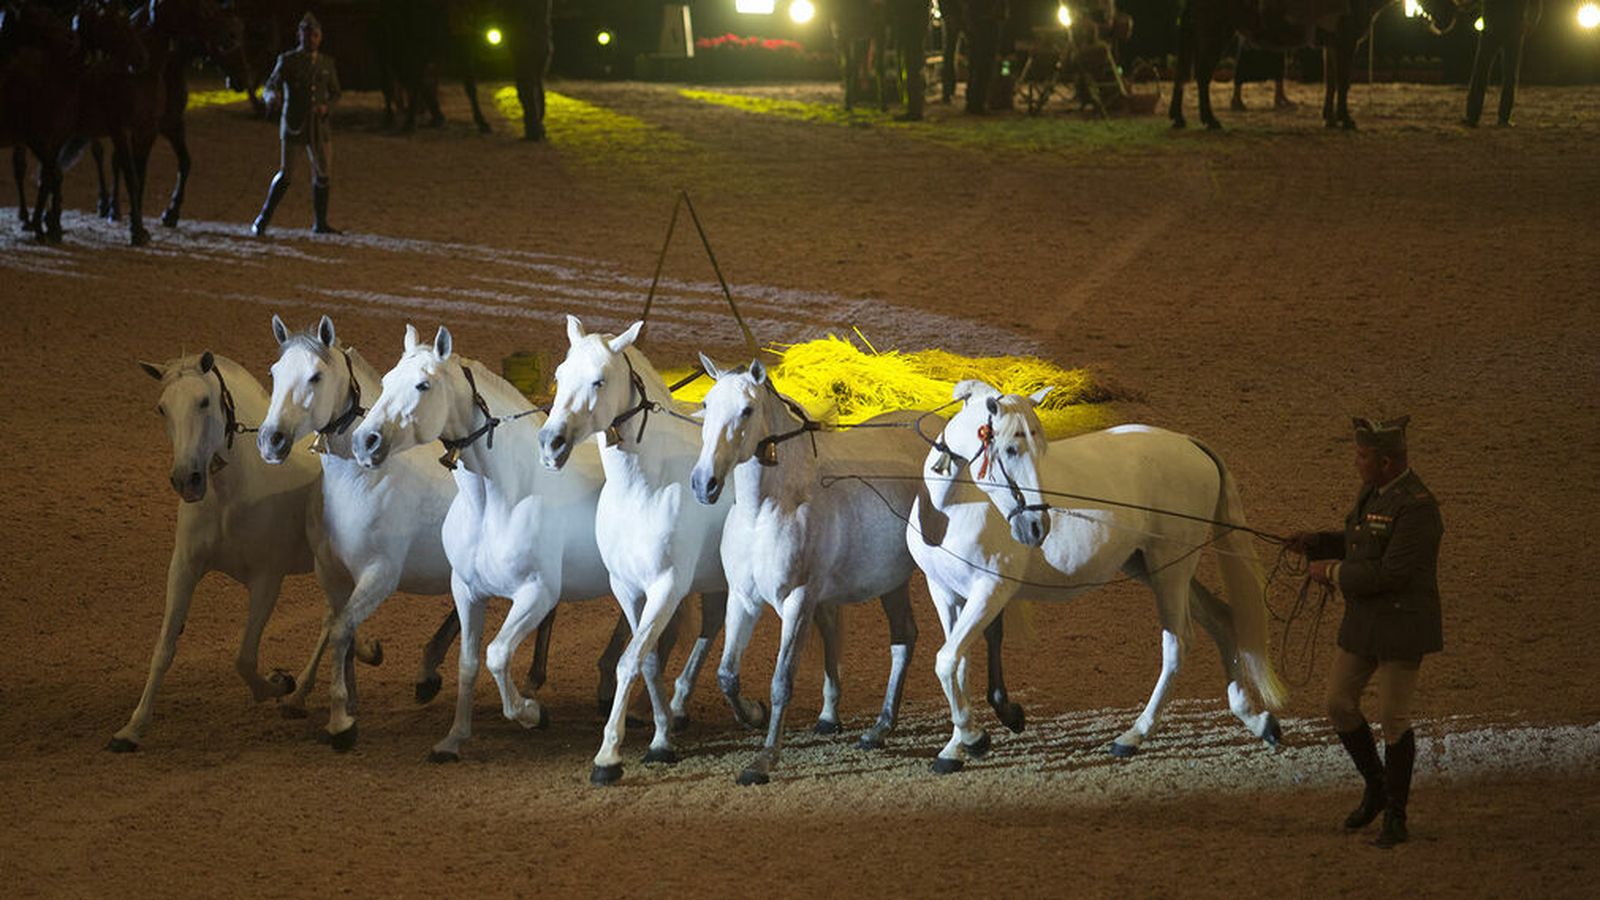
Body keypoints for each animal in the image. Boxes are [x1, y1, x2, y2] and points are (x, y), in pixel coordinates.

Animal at [112, 351, 326, 751]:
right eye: (162, 408)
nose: (186, 479)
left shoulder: (267, 579)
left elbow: (244, 658)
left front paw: (278, 684)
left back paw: (297, 694)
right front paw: (132, 728)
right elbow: (164, 647)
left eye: (203, 401)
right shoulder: (184, 566)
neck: (232, 492)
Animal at [351, 325, 635, 763]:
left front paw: (532, 713)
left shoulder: (536, 594)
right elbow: (468, 662)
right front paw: (453, 739)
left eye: (423, 385)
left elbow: (497, 655)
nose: (365, 441)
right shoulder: (467, 591)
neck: (498, 500)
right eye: (385, 381)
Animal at [688, 355, 933, 785]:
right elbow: (726, 674)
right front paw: (753, 714)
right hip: (892, 580)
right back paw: (879, 729)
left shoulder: (798, 601)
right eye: (706, 403)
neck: (767, 508)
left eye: (747, 410)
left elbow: (782, 681)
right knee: (905, 637)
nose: (705, 483)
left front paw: (764, 759)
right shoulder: (743, 599)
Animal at [912, 381, 1286, 771]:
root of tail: (1188, 443)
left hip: (1171, 569)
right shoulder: (945, 592)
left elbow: (947, 661)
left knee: (1178, 643)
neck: (951, 509)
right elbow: (958, 665)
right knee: (1221, 620)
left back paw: (1133, 736)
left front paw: (973, 739)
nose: (1036, 528)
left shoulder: (991, 591)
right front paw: (954, 748)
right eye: (1011, 449)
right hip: (1150, 567)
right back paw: (1257, 721)